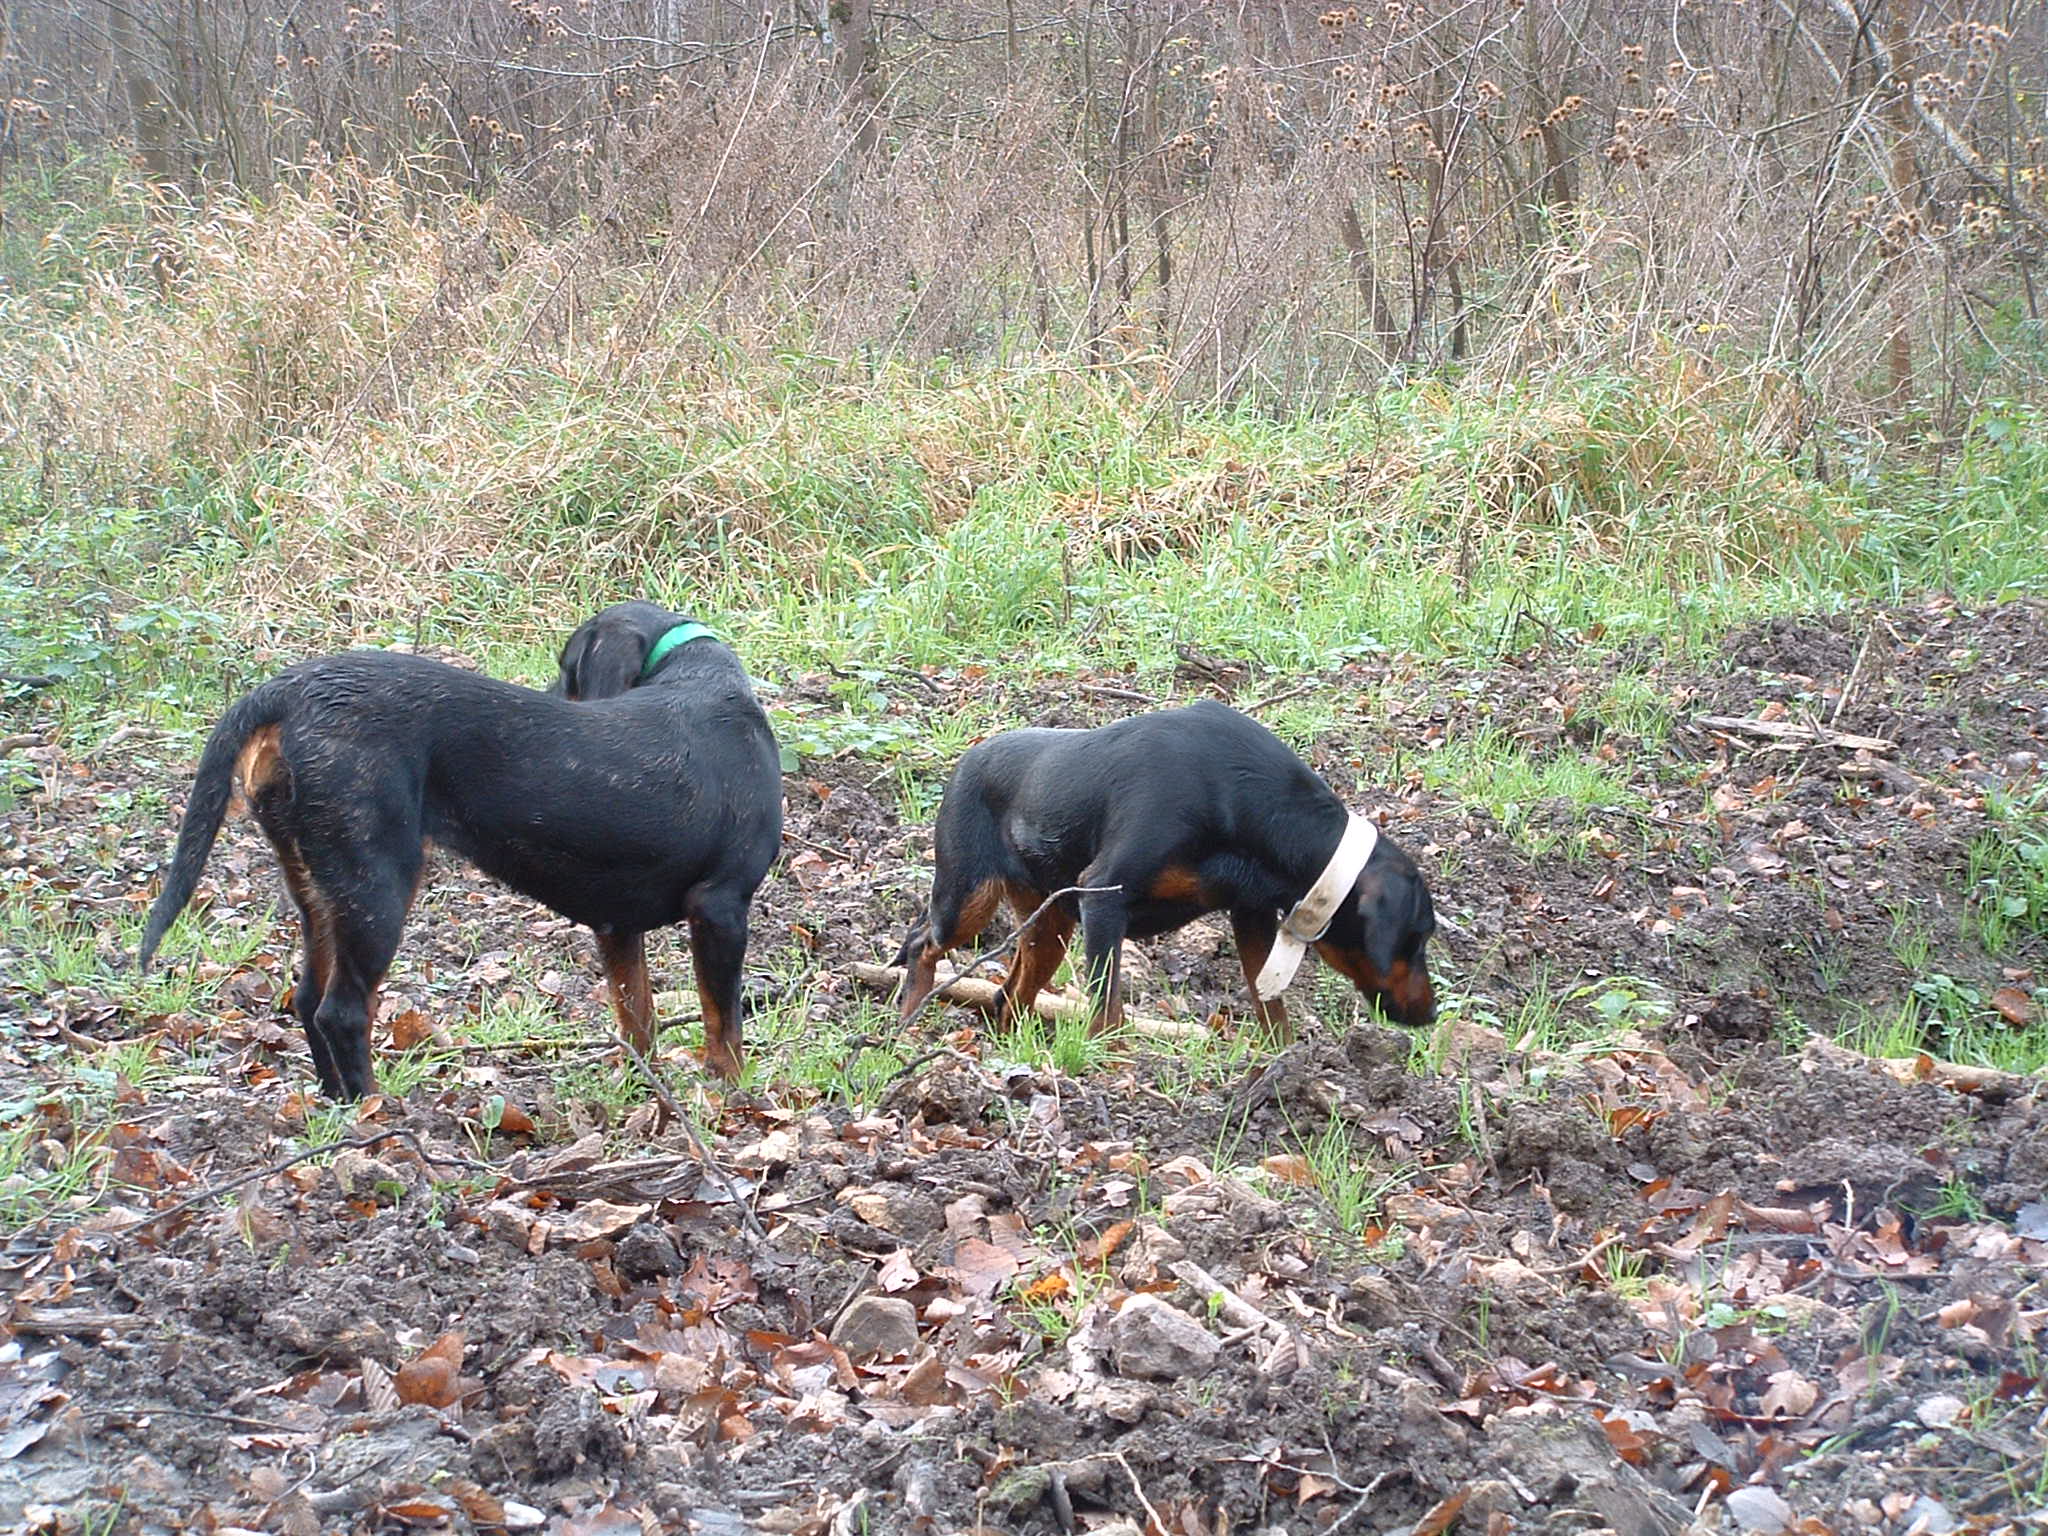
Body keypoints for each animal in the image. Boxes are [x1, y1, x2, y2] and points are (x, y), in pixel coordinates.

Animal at [136, 602, 774, 1097]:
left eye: (565, 668)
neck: (699, 675)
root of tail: (286, 693)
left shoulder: (617, 926)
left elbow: (639, 1021)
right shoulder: (720, 906)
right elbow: (724, 1027)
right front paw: (734, 1101)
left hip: (321, 893)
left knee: (308, 999)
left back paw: (336, 1104)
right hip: (379, 887)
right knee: (342, 1012)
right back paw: (375, 1112)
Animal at [897, 700, 1441, 1040]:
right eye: (1415, 939)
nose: (1431, 1013)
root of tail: (965, 761)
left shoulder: (1251, 915)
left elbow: (1272, 1012)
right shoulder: (1104, 895)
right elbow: (1107, 1011)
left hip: (1049, 921)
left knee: (1009, 993)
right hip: (967, 896)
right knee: (922, 941)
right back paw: (906, 1023)